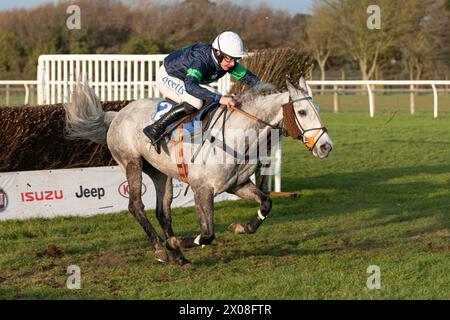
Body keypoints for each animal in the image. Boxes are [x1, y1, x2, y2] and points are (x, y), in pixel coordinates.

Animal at [63, 77, 332, 264]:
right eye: (302, 112)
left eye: (318, 110)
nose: (326, 146)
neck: (237, 137)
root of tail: (118, 114)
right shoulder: (203, 189)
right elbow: (207, 233)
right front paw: (174, 243)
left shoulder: (237, 185)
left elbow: (266, 203)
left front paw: (240, 228)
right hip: (132, 163)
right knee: (136, 206)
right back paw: (161, 249)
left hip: (161, 173)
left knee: (163, 212)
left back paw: (179, 257)